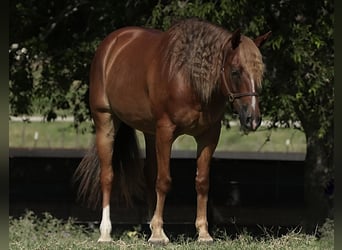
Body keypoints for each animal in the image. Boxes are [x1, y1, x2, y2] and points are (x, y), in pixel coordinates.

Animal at [74, 19, 270, 244]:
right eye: (235, 71)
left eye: (260, 73)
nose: (253, 119)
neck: (188, 79)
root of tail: (110, 45)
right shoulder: (166, 132)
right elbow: (164, 181)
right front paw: (160, 234)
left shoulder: (209, 135)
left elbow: (202, 182)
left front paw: (203, 233)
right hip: (106, 123)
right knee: (107, 175)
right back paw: (106, 232)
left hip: (150, 133)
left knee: (149, 174)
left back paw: (149, 227)